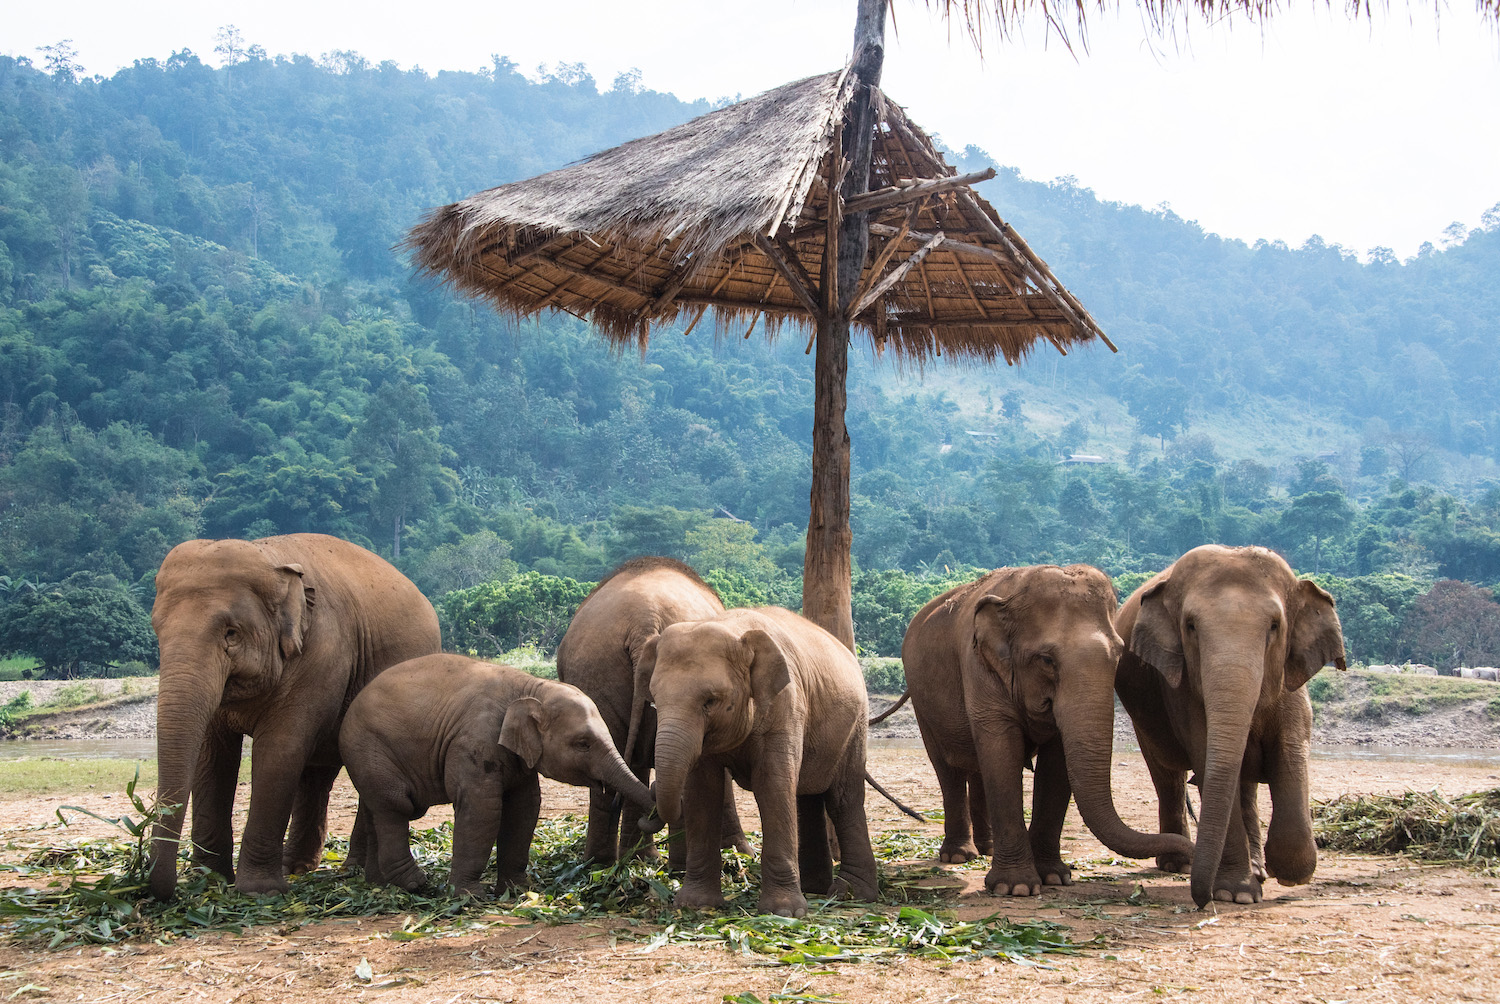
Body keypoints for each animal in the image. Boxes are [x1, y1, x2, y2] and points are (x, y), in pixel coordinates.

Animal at [148, 533, 441, 900]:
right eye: (157, 631)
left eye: (231, 633)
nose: (162, 891)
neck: (272, 557)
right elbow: (212, 755)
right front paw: (209, 882)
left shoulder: (321, 654)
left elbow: (280, 750)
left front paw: (258, 891)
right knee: (317, 774)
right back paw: (297, 868)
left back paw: (351, 870)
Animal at [339, 654, 655, 895]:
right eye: (583, 744)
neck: (532, 688)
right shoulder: (475, 744)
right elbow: (482, 809)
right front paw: (469, 896)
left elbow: (525, 807)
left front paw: (518, 890)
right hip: (369, 749)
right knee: (395, 806)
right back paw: (416, 884)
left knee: (374, 808)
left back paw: (379, 884)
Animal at [645, 605, 879, 918]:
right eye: (654, 700)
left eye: (711, 701)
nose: (652, 790)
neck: (734, 628)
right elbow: (702, 791)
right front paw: (696, 905)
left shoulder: (785, 705)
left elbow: (773, 784)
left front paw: (784, 912)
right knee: (806, 796)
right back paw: (814, 888)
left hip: (856, 725)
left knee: (843, 799)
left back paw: (851, 895)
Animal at [902, 564, 1194, 897]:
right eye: (1046, 659)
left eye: (1119, 654)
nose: (1191, 854)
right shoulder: (977, 667)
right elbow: (1002, 754)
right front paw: (1015, 887)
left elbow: (1055, 764)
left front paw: (1054, 877)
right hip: (922, 702)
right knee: (948, 770)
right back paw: (958, 856)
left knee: (976, 769)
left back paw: (987, 849)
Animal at [1115, 544, 1346, 908]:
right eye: (1191, 626)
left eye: (1274, 626)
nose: (1202, 901)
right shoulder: (1182, 690)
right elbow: (1207, 757)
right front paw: (1236, 894)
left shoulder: (1291, 685)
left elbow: (1291, 750)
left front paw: (1290, 874)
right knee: (1168, 776)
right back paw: (1179, 865)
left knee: (1244, 785)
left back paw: (1259, 869)